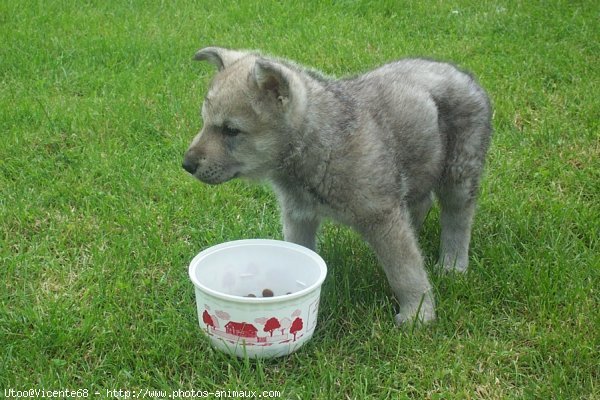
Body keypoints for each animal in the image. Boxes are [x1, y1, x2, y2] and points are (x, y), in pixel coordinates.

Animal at [183, 47, 492, 324]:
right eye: (204, 122)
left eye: (230, 130)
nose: (186, 164)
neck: (316, 144)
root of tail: (464, 74)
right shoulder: (299, 215)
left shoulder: (380, 214)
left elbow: (404, 271)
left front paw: (418, 313)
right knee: (421, 204)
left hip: (459, 170)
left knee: (457, 218)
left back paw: (452, 264)